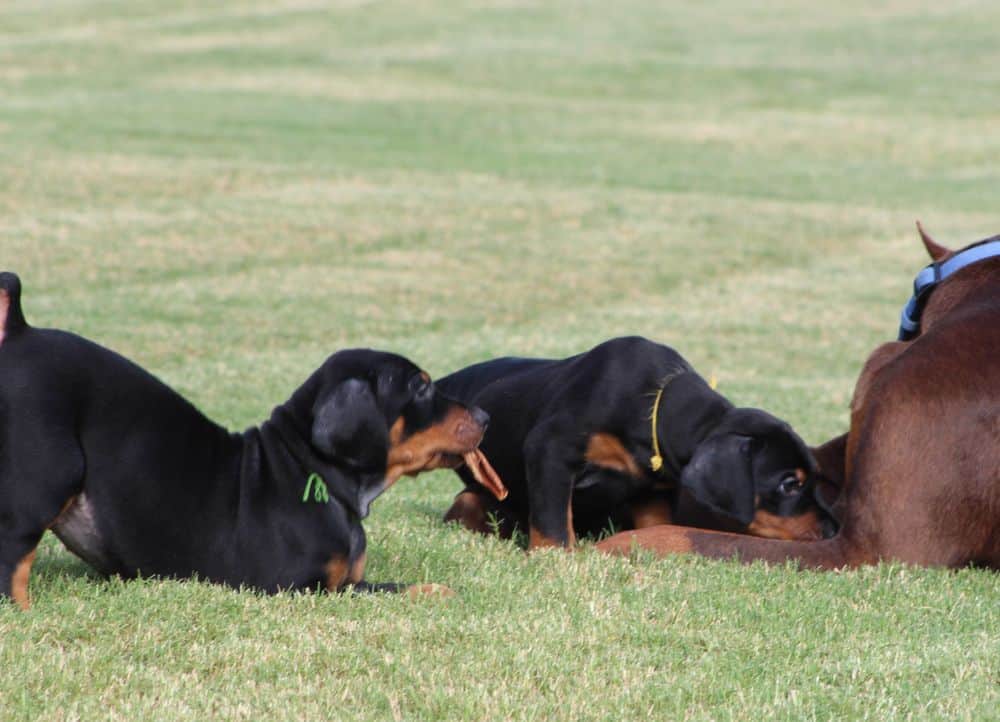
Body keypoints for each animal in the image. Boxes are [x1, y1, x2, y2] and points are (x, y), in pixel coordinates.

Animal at [0, 272, 504, 612]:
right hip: (46, 476)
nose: (485, 417)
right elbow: (387, 592)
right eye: (420, 387)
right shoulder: (303, 590)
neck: (316, 473)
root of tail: (20, 333)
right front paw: (438, 591)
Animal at [440, 334, 836, 548]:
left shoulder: (653, 489)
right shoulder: (550, 448)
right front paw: (557, 558)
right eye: (789, 484)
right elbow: (554, 524)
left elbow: (655, 522)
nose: (834, 530)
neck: (653, 408)